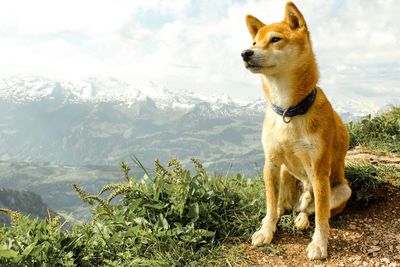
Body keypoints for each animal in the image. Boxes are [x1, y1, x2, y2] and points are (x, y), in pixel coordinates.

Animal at [241, 1, 350, 260]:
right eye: (254, 43)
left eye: (275, 39)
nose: (245, 53)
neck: (289, 110)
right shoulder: (270, 163)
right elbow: (271, 205)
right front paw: (266, 230)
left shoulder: (318, 170)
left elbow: (322, 216)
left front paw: (319, 244)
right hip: (283, 172)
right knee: (283, 206)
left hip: (342, 189)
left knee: (311, 209)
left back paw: (302, 219)